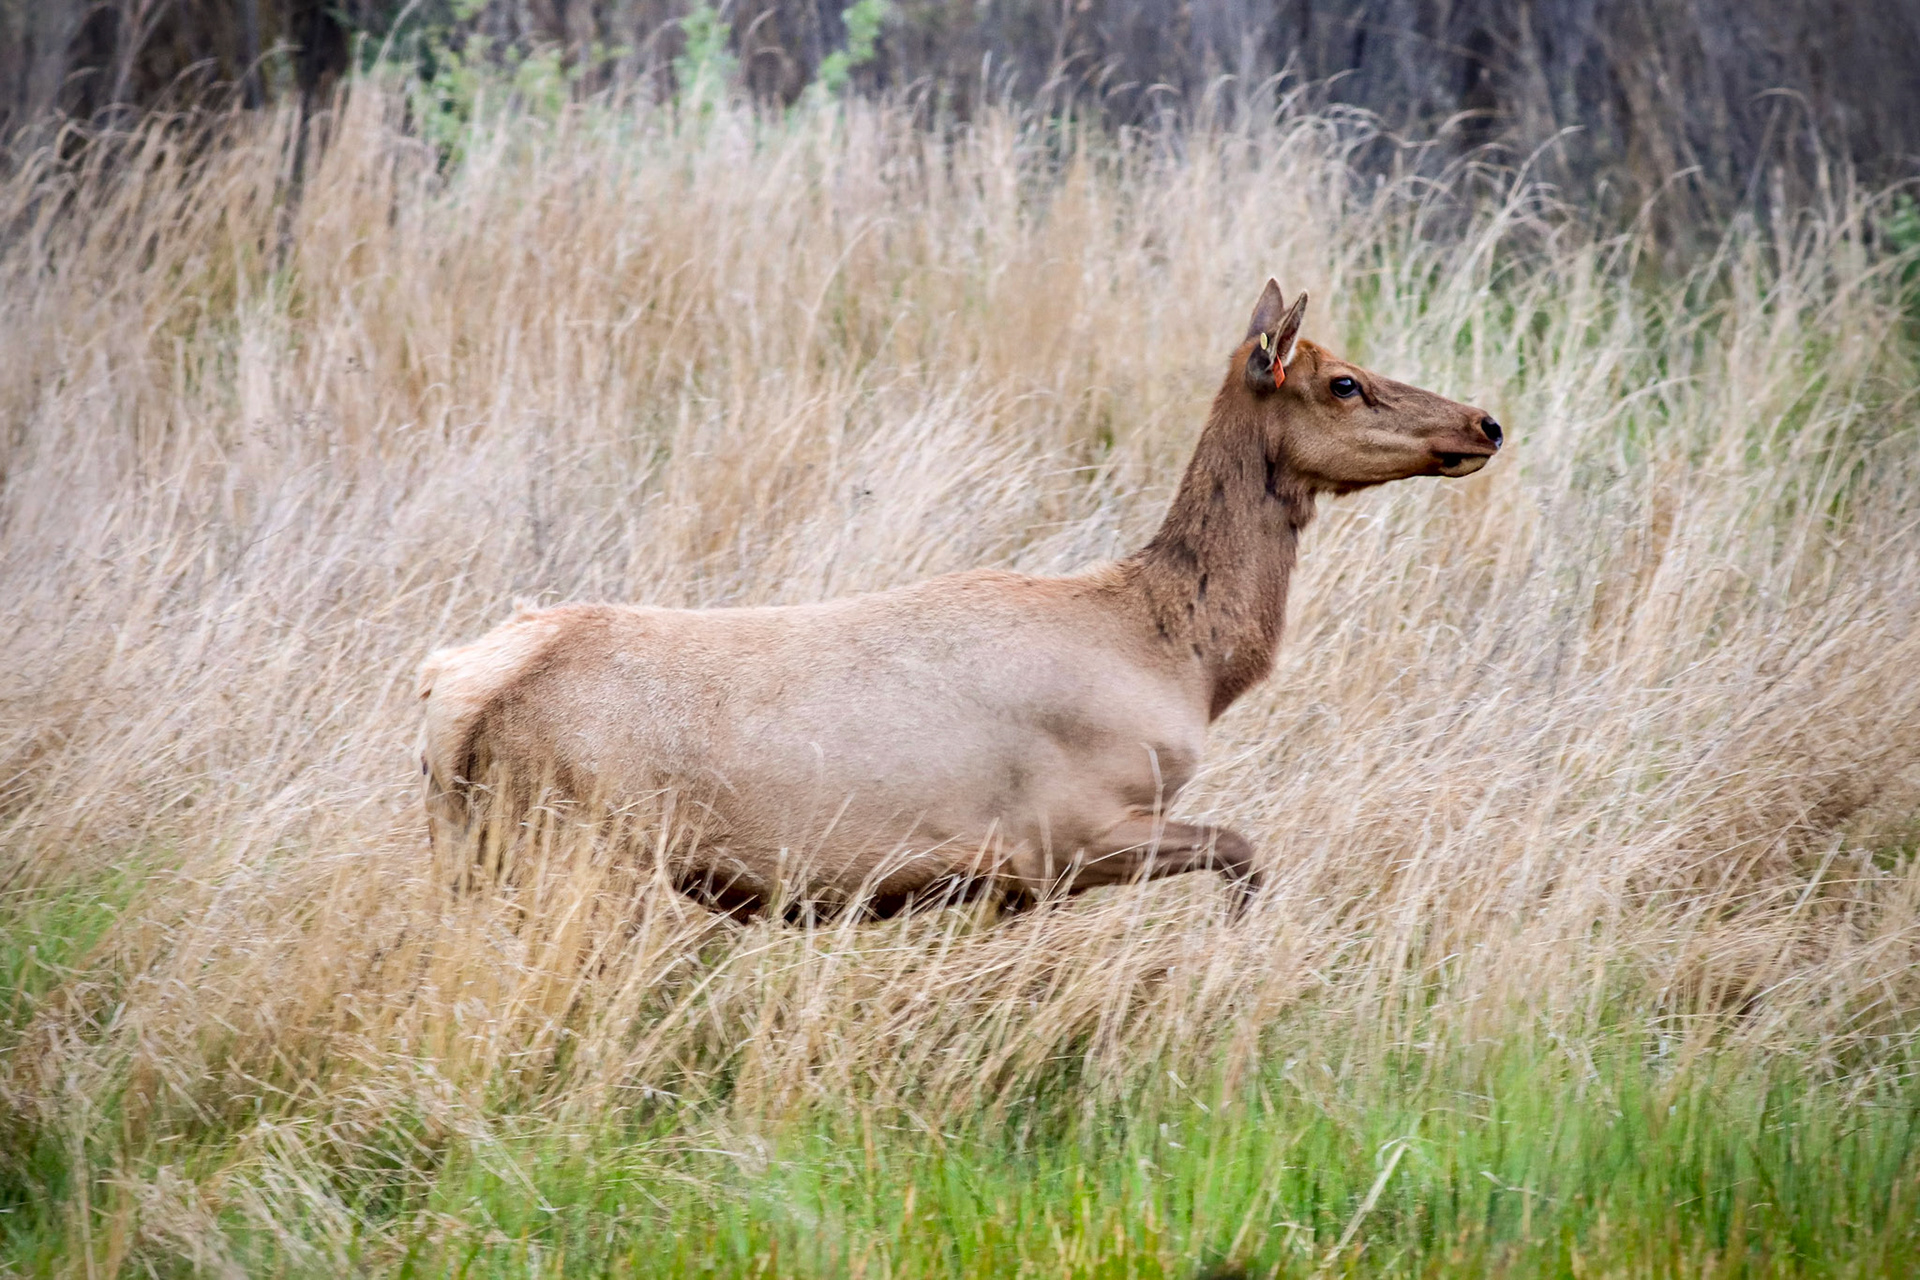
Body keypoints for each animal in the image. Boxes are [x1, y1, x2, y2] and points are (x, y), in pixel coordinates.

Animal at [417, 280, 1503, 919]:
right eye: (1344, 382)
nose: (1485, 422)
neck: (1183, 660)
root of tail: (448, 694)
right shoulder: (1064, 831)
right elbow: (1243, 850)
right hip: (575, 847)